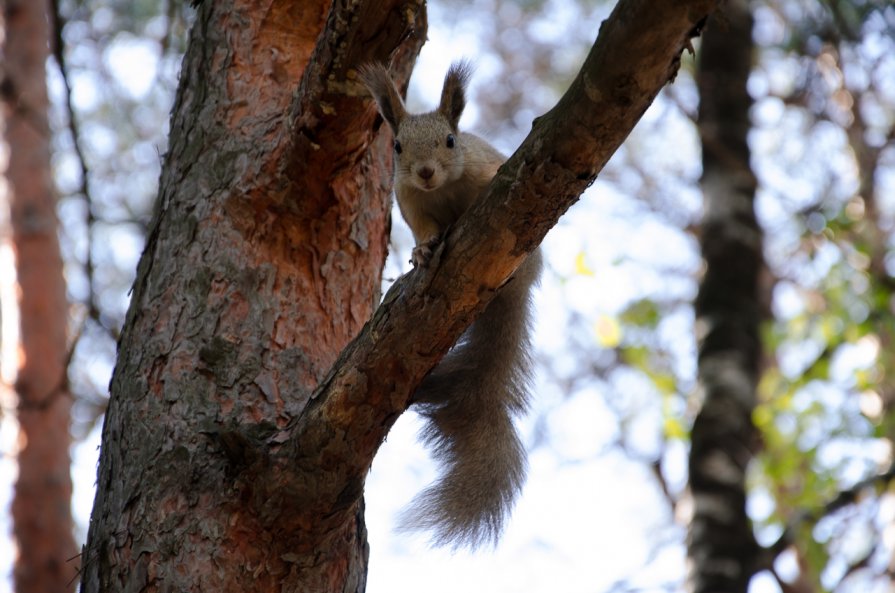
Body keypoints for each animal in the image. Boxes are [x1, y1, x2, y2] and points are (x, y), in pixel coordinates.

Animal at [358, 62, 544, 548]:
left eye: (450, 140)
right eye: (398, 146)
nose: (424, 172)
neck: (442, 190)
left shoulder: (485, 170)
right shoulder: (412, 204)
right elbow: (424, 230)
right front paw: (422, 253)